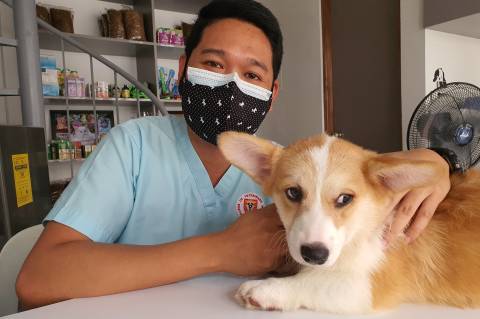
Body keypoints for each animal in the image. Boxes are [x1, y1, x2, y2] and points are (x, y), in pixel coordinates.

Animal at [218, 132, 480, 316]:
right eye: (293, 193)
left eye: (345, 199)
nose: (314, 254)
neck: (360, 230)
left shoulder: (366, 287)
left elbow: (313, 282)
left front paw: (267, 290)